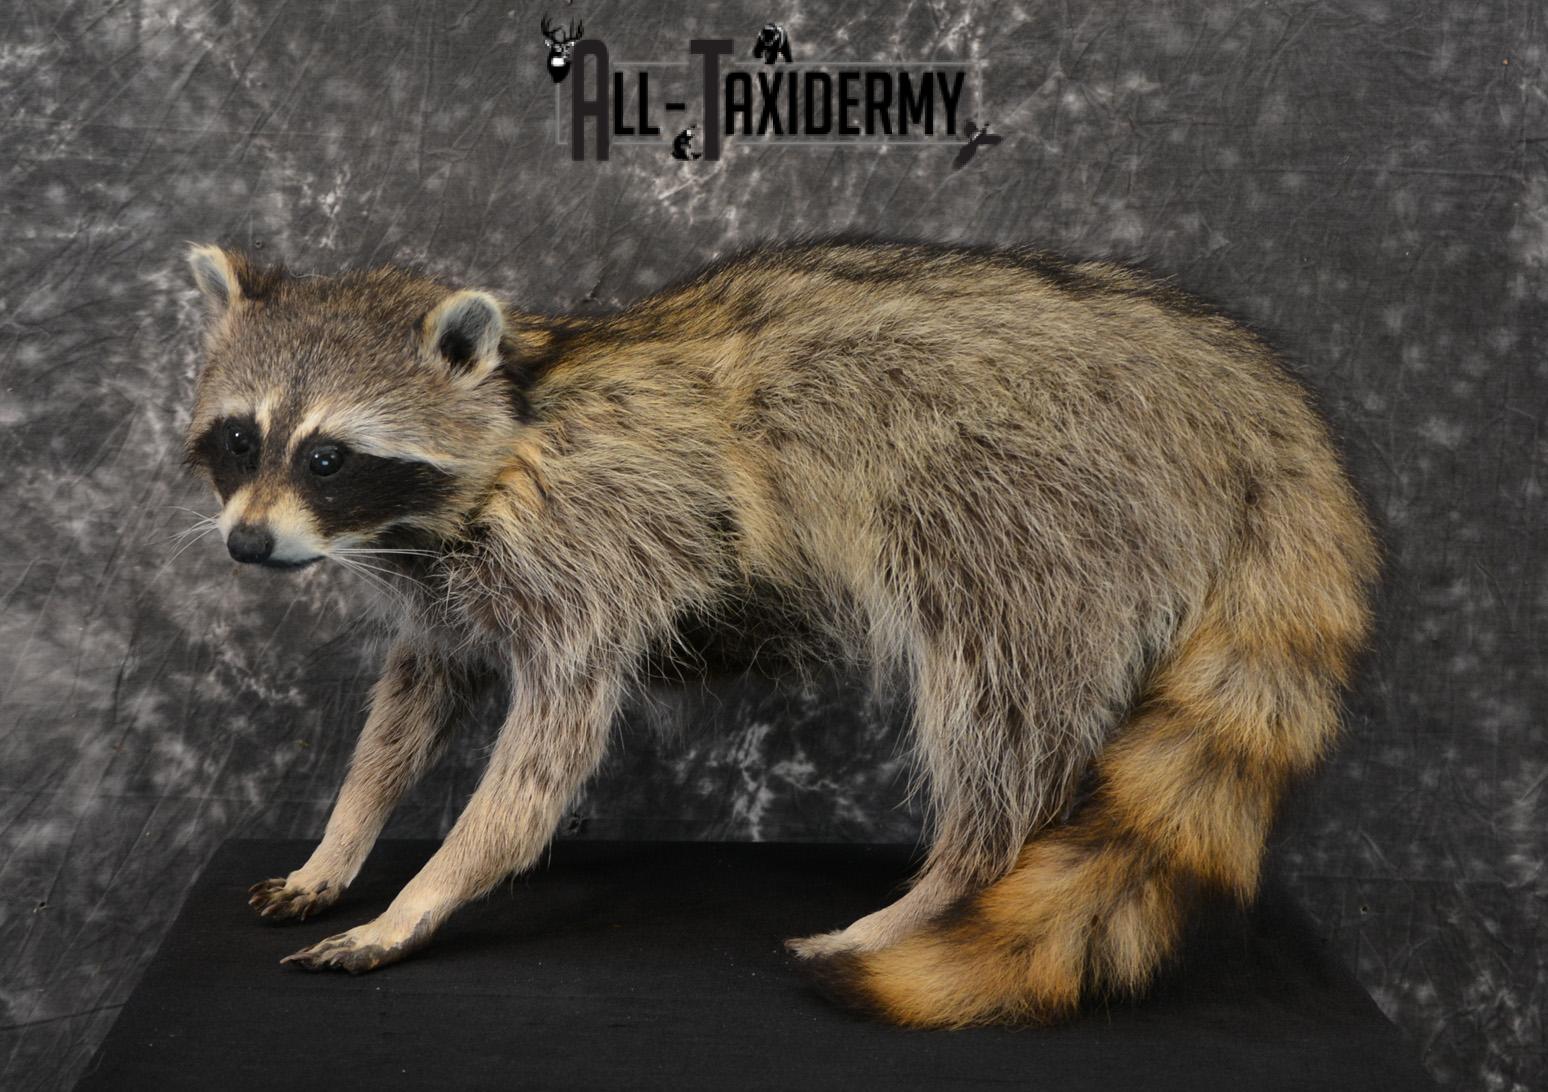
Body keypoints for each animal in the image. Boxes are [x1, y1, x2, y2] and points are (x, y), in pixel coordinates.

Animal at [182, 240, 1378, 1026]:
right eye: (240, 440)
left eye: (328, 456)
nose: (246, 544)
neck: (509, 432)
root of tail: (1241, 393)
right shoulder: (445, 590)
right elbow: (410, 705)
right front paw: (341, 841)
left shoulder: (593, 551)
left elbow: (539, 767)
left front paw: (424, 895)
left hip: (1040, 499)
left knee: (994, 688)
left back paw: (949, 881)